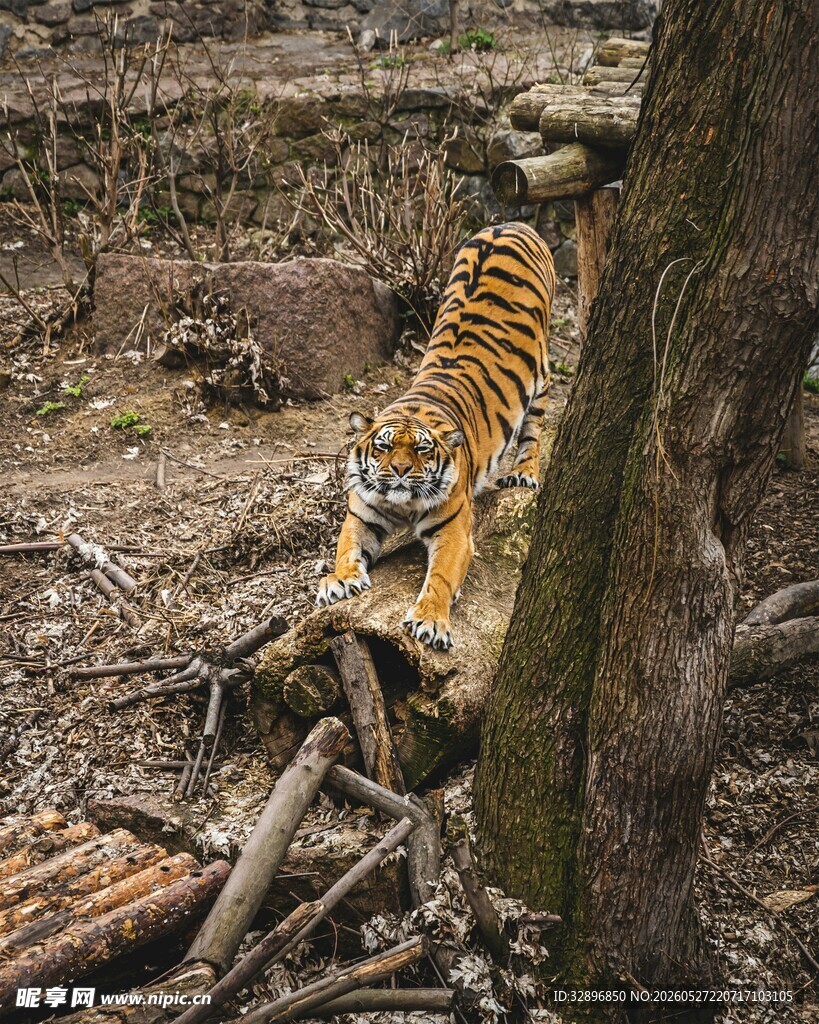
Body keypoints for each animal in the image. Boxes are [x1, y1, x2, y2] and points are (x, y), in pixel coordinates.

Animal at [317, 222, 556, 650]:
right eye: (383, 447)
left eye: (423, 450)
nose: (398, 471)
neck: (401, 506)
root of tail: (511, 224)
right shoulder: (361, 515)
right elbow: (345, 548)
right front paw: (339, 580)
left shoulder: (454, 530)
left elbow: (441, 577)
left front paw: (430, 622)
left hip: (540, 371)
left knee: (535, 424)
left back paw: (523, 473)